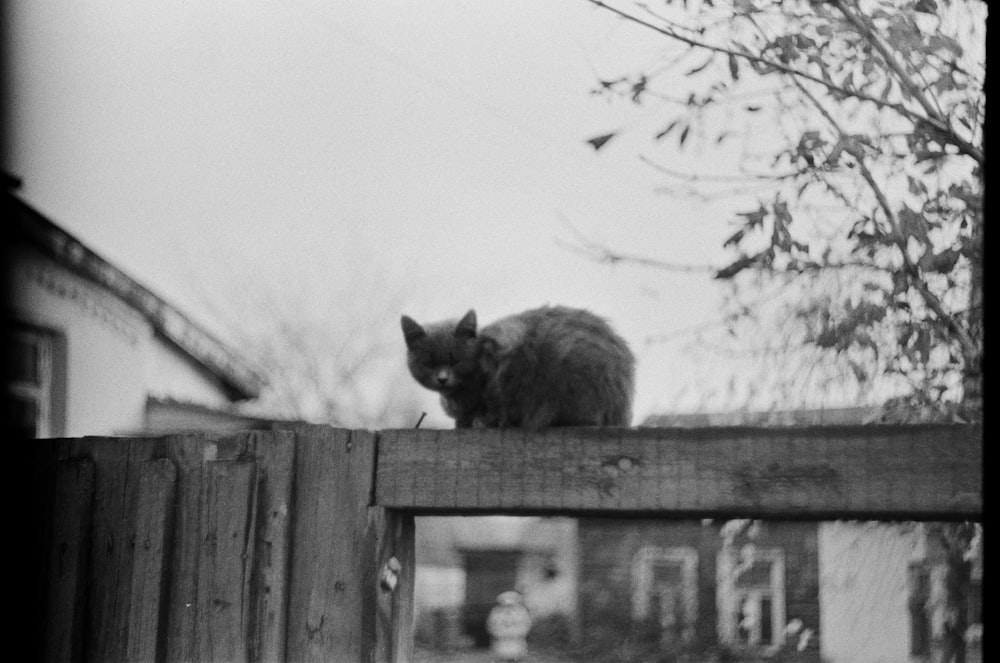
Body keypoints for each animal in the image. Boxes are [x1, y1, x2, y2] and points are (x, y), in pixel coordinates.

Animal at [398, 306, 632, 430]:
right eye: (429, 363)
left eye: (455, 361)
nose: (442, 378)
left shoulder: (500, 372)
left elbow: (497, 405)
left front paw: (481, 421)